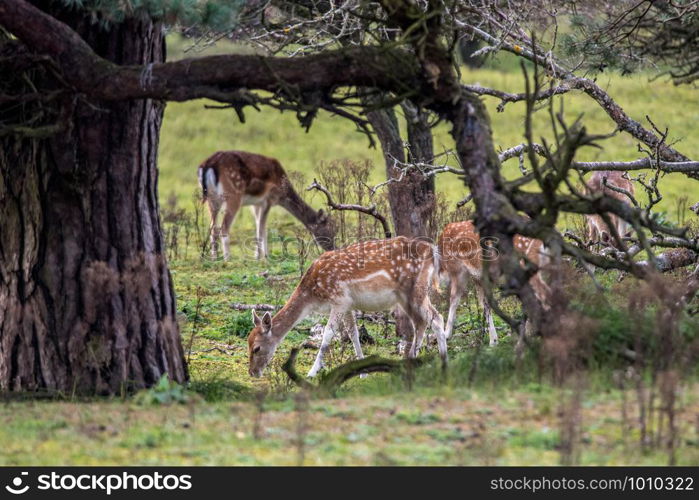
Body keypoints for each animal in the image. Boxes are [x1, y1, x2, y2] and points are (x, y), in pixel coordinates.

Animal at [197, 151, 336, 262]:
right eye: (330, 230)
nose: (333, 249)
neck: (282, 193)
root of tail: (209, 164)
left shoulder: (256, 204)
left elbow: (260, 227)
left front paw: (263, 255)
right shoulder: (267, 200)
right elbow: (262, 228)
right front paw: (261, 257)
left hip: (212, 199)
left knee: (213, 227)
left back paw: (214, 258)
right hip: (233, 195)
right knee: (224, 227)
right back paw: (227, 258)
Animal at [247, 236, 448, 376]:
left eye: (257, 348)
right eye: (248, 343)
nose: (252, 372)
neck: (313, 296)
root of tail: (432, 251)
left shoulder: (339, 299)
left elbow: (327, 335)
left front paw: (312, 372)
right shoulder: (348, 305)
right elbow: (353, 334)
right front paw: (363, 372)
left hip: (416, 289)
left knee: (435, 318)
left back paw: (438, 363)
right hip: (404, 297)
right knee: (421, 322)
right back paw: (419, 360)